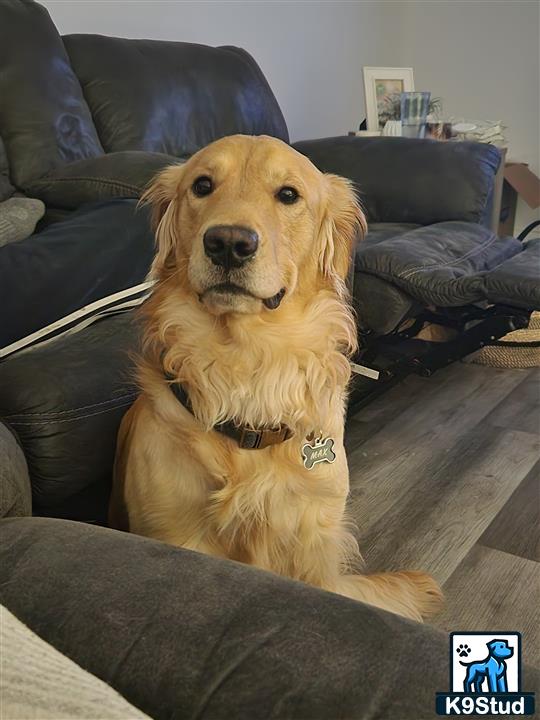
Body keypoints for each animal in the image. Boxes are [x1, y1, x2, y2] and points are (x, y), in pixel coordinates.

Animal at [109, 134, 442, 620]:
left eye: (288, 194)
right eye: (202, 185)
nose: (228, 243)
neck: (249, 364)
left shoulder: (313, 537)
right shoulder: (173, 531)